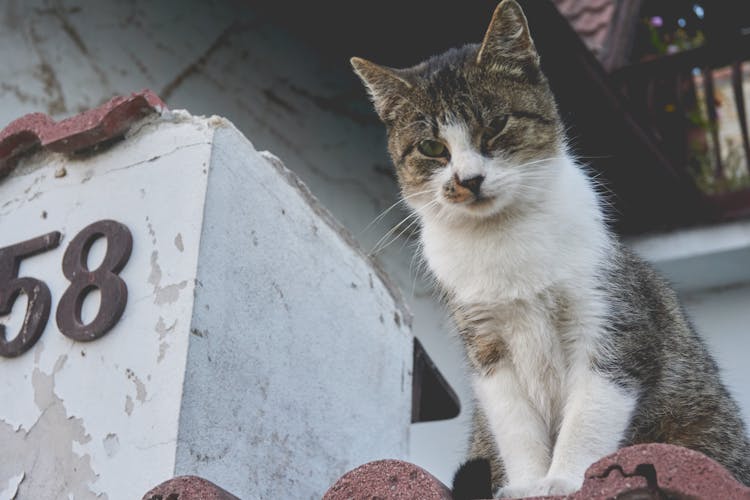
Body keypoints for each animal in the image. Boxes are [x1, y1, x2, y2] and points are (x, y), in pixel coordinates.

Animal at [352, 1, 750, 498]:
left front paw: (564, 478)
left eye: (496, 124)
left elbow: (590, 414)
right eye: (431, 147)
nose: (469, 180)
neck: (504, 236)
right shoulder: (487, 344)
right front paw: (528, 483)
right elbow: (514, 425)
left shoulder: (609, 322)